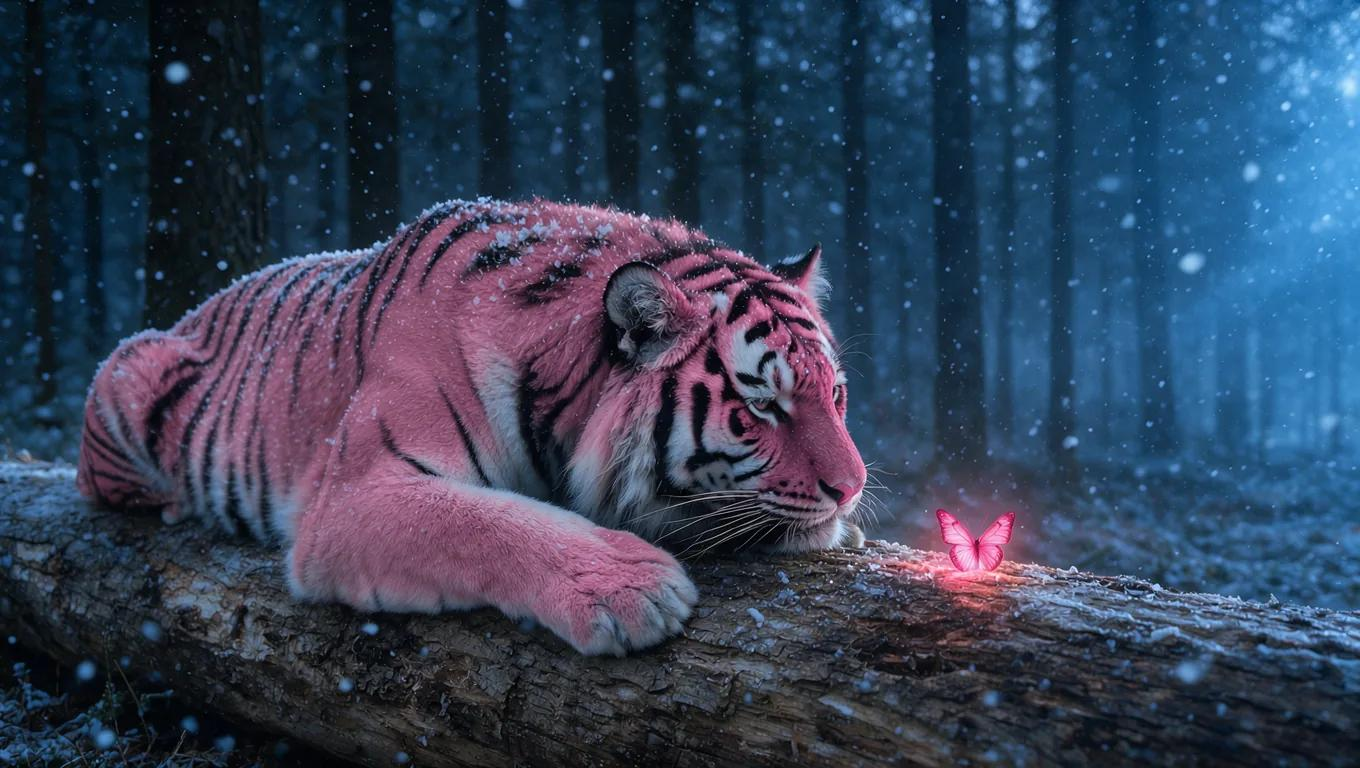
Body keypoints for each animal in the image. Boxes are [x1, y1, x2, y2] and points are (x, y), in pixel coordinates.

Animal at [76, 198, 867, 656]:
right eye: (762, 405)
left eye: (836, 395)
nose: (852, 488)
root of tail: (196, 308)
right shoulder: (356, 491)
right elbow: (488, 521)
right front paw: (634, 589)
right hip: (128, 371)